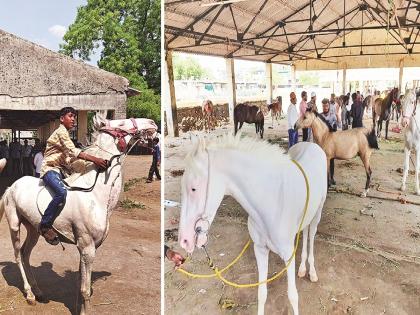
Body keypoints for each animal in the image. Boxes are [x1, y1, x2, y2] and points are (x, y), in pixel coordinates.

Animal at [0, 112, 157, 314]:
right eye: (122, 123)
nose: (152, 124)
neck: (95, 195)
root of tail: (11, 186)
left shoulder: (87, 248)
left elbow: (81, 285)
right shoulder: (87, 247)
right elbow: (85, 290)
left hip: (34, 229)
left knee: (26, 254)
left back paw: (38, 292)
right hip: (14, 225)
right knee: (18, 255)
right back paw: (29, 295)